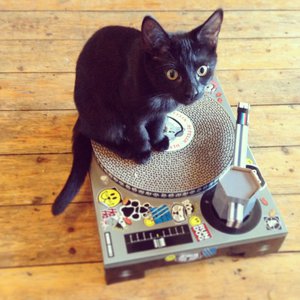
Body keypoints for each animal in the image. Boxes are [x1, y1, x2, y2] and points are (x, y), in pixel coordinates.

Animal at [52, 9, 224, 214]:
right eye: (172, 74)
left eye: (202, 70)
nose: (193, 92)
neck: (161, 95)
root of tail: (81, 117)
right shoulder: (131, 114)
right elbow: (140, 133)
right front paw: (144, 152)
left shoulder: (160, 113)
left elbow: (157, 125)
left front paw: (158, 141)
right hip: (105, 116)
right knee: (95, 132)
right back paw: (125, 148)